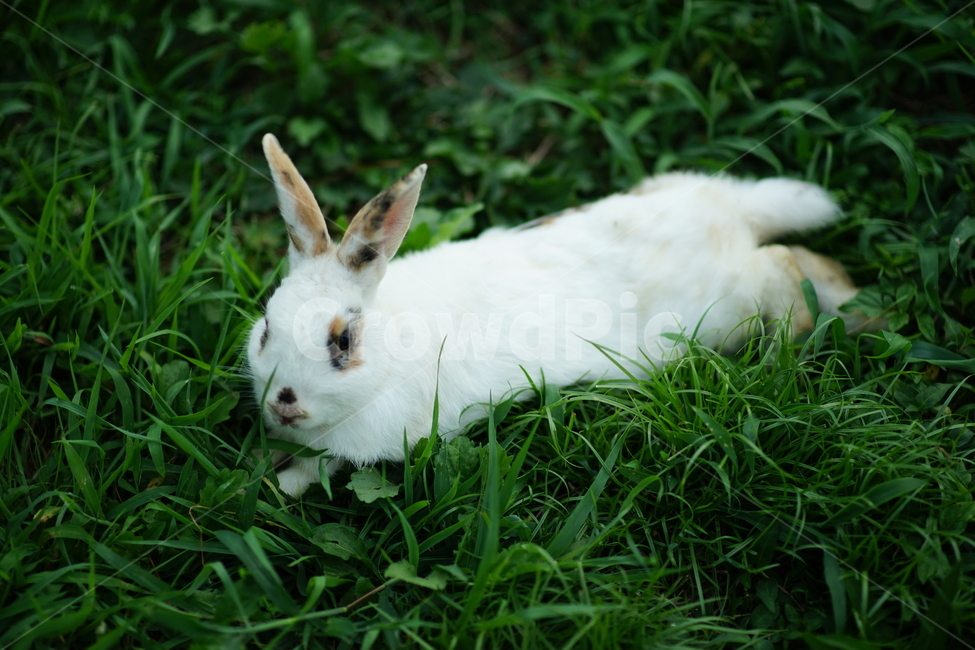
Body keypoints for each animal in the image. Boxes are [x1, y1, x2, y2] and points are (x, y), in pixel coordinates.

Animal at [248, 133, 875, 497]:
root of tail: (730, 211)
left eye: (343, 341)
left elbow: (312, 473)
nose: (284, 402)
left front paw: (277, 487)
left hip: (739, 301)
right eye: (265, 328)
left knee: (788, 265)